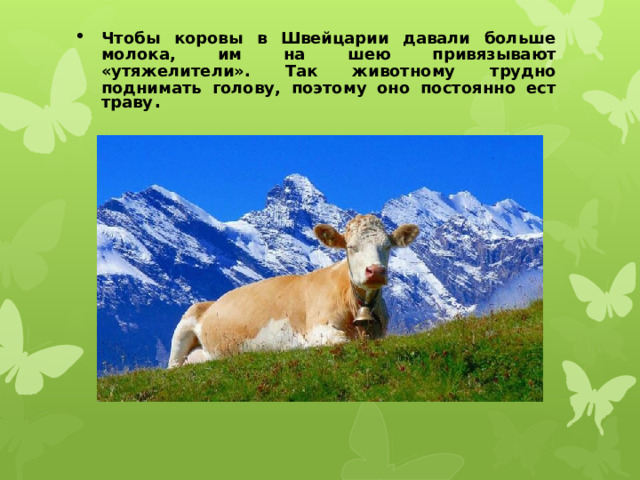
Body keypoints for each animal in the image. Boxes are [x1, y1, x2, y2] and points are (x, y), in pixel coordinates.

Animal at [167, 214, 419, 368]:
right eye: (351, 247)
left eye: (387, 246)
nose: (375, 271)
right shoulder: (316, 329)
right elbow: (341, 340)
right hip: (185, 324)